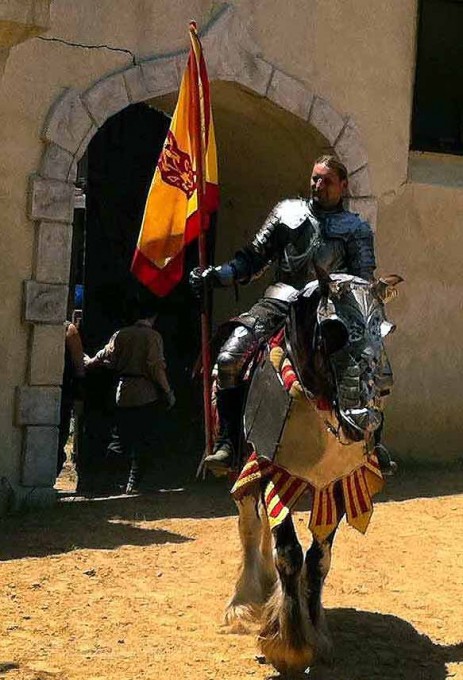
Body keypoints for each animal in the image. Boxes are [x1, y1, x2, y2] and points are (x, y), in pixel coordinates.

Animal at [223, 270, 400, 676]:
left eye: (383, 330)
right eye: (333, 329)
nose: (364, 416)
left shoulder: (336, 485)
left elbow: (319, 560)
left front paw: (316, 633)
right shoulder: (270, 469)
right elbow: (288, 551)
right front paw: (288, 645)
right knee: (250, 526)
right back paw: (244, 602)